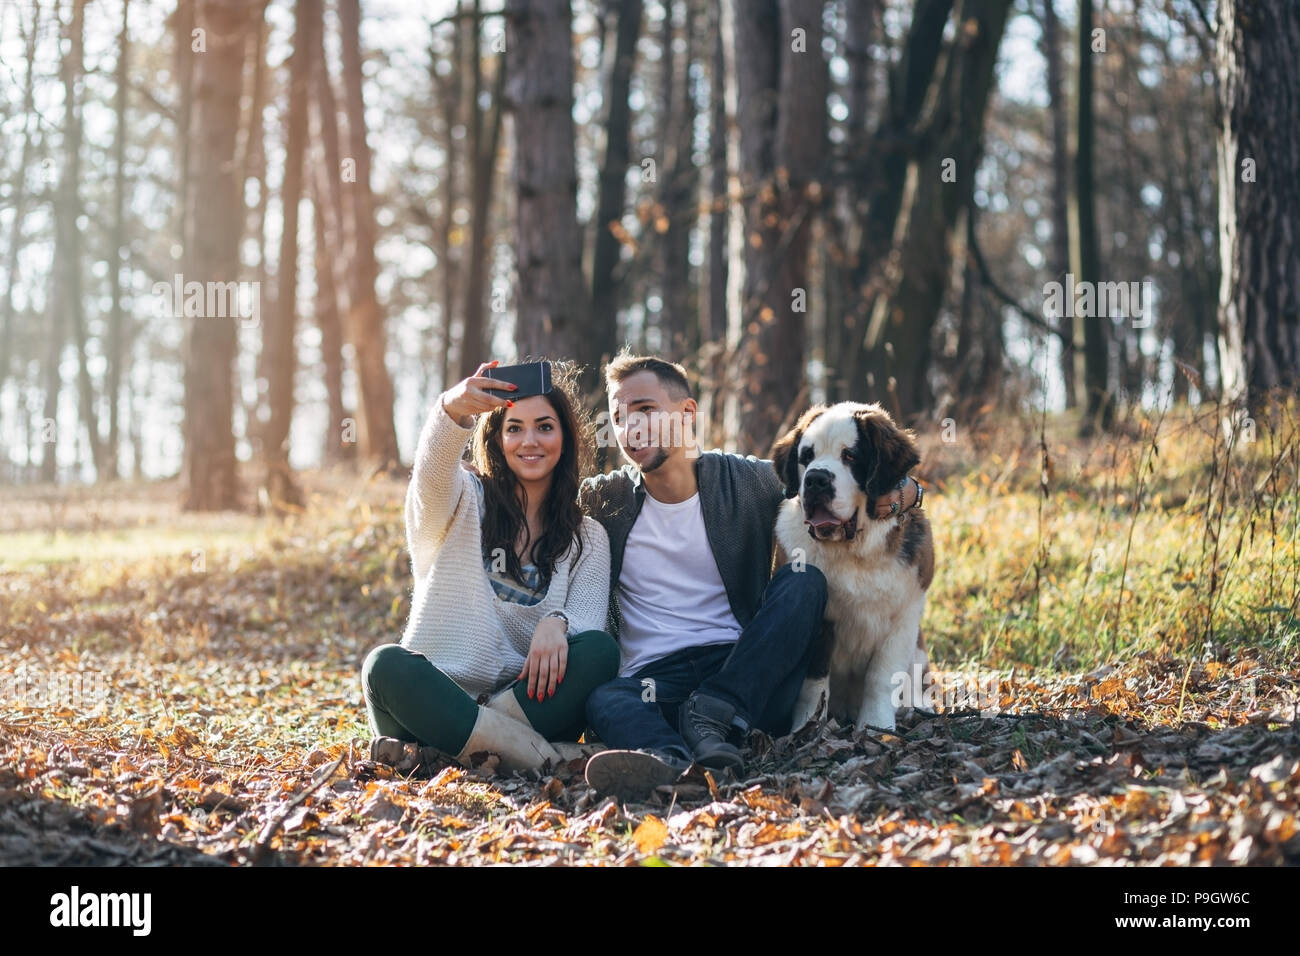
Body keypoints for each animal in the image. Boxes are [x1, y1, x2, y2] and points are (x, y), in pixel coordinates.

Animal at [764, 403, 930, 733]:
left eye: (850, 456)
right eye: (806, 456)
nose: (816, 479)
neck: (854, 550)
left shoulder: (904, 616)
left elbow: (883, 676)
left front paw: (877, 727)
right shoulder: (821, 621)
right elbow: (814, 682)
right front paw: (807, 727)